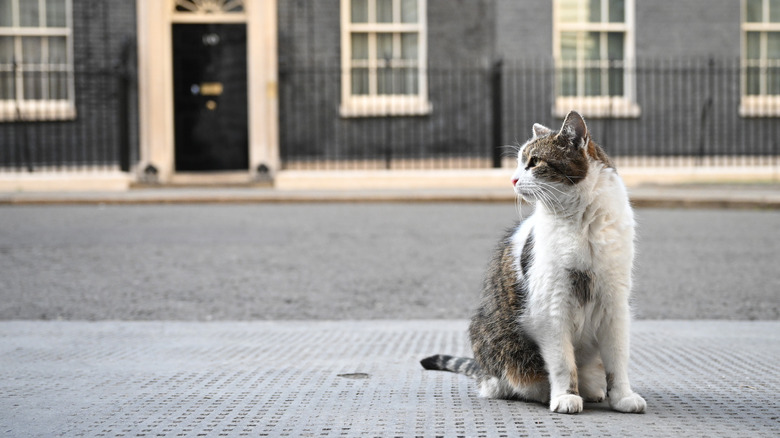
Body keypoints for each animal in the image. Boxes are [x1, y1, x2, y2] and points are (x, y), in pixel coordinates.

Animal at [420, 109, 644, 414]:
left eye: (534, 162)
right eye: (518, 163)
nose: (513, 180)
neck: (581, 223)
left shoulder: (615, 304)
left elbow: (618, 361)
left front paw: (622, 397)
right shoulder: (552, 306)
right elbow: (563, 363)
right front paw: (565, 396)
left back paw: (592, 390)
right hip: (493, 339)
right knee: (502, 382)